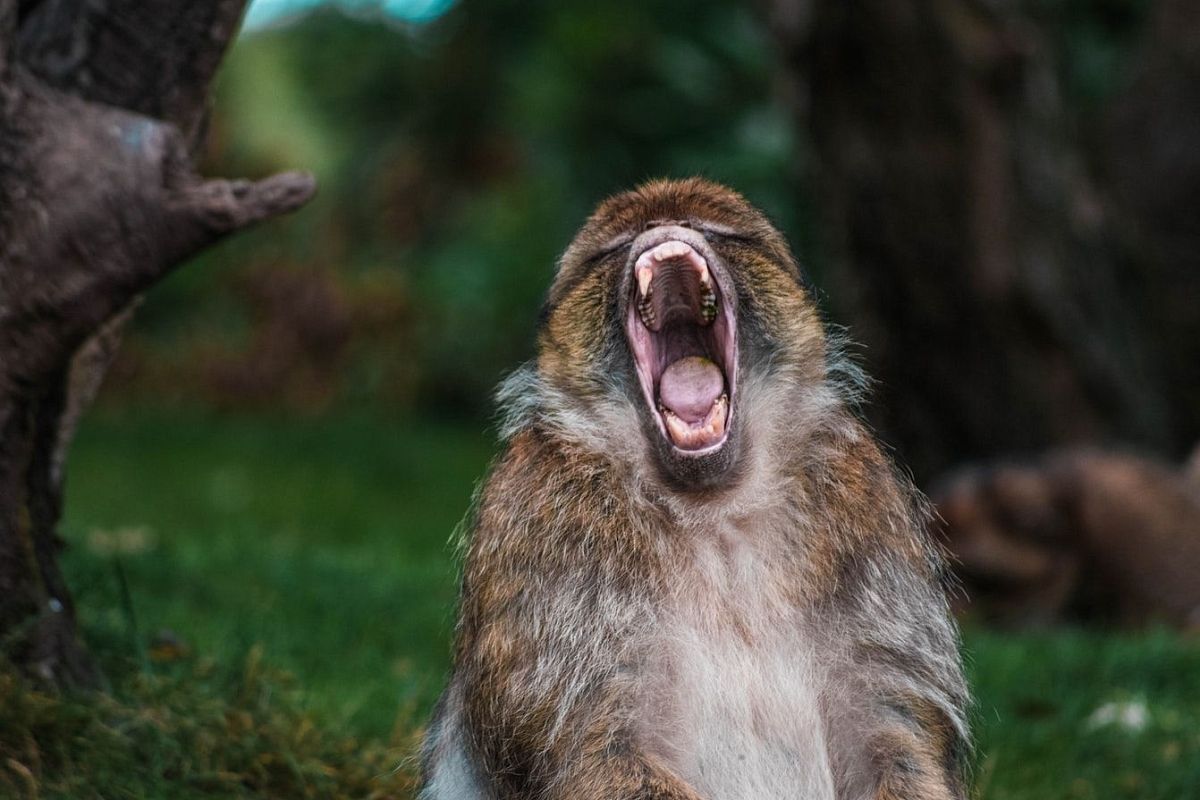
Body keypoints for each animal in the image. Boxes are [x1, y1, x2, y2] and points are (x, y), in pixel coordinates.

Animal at [417, 179, 969, 800]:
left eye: (720, 231)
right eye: (614, 246)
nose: (665, 228)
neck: (713, 510)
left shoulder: (868, 508)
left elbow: (890, 731)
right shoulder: (537, 523)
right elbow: (596, 745)